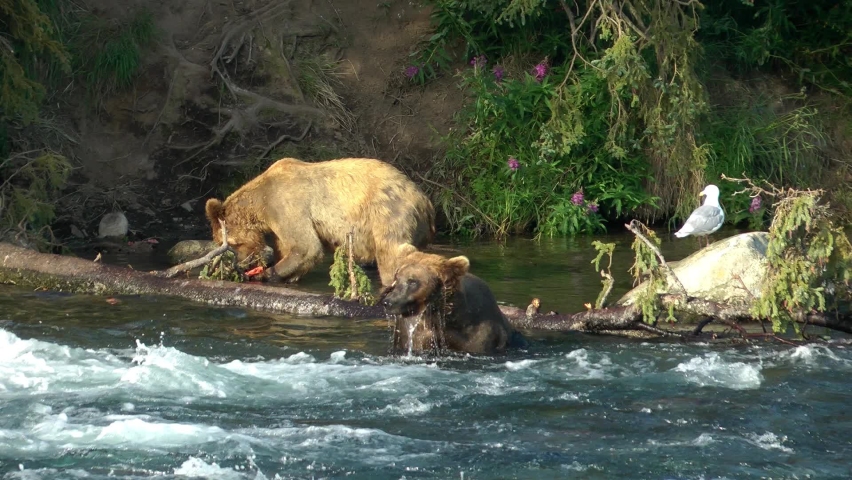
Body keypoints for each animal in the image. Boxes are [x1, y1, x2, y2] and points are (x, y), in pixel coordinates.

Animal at [204, 157, 435, 286]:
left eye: (231, 244)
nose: (242, 263)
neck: (261, 203)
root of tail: (425, 200)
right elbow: (290, 250)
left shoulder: (286, 206)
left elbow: (306, 246)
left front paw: (265, 274)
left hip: (388, 211)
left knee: (392, 251)